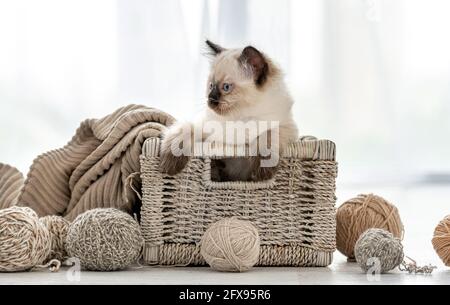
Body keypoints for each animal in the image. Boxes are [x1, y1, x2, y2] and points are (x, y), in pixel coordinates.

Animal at [159, 40, 298, 180]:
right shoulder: (203, 128)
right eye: (211, 86)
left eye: (226, 87)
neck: (237, 117)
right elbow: (184, 130)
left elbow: (269, 135)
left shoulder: (285, 126)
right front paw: (170, 167)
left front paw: (262, 174)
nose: (210, 99)